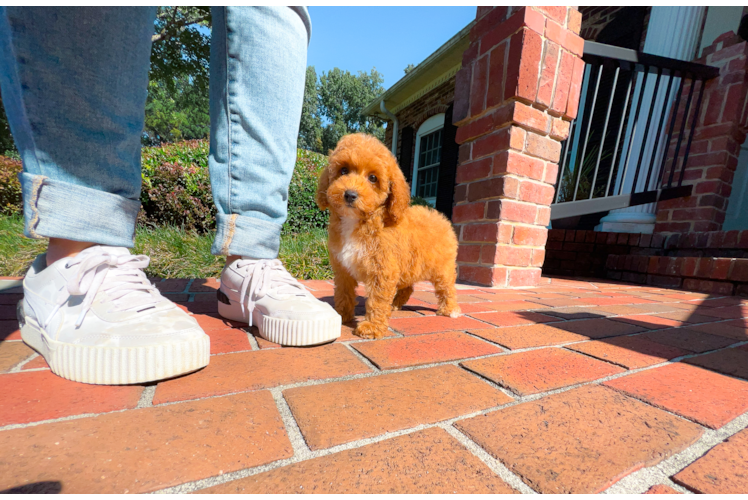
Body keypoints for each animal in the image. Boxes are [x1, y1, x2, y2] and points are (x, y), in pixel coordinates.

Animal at [314, 132, 458, 340]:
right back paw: (396, 304)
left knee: (447, 288)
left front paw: (371, 327)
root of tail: (440, 217)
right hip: (410, 265)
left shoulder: (382, 270)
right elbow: (343, 293)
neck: (359, 220)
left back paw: (450, 309)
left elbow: (377, 300)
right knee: (408, 286)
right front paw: (341, 314)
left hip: (442, 268)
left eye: (373, 178)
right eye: (343, 170)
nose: (350, 195)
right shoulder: (343, 269)